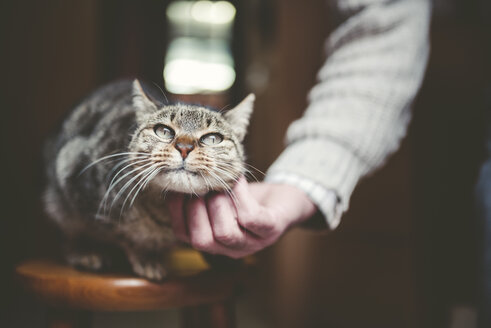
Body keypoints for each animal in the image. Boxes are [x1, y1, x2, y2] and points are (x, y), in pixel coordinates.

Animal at [43, 79, 254, 280]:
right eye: (164, 131)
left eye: (212, 138)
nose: (184, 147)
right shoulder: (72, 175)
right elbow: (106, 233)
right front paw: (145, 257)